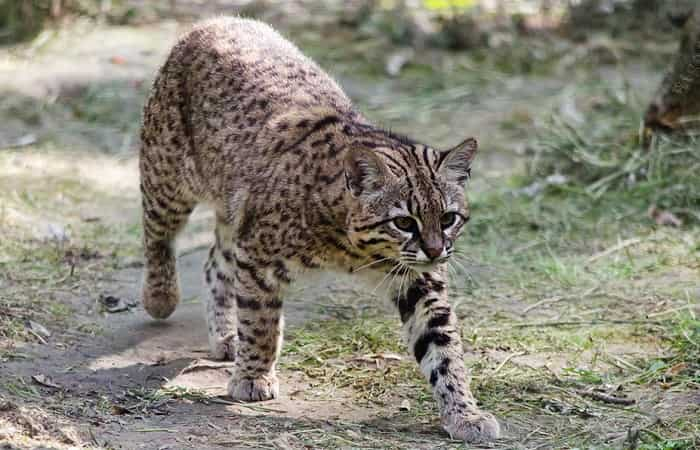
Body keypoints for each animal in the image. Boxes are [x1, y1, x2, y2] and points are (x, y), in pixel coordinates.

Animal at [138, 16, 498, 442]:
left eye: (447, 219)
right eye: (404, 222)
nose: (435, 250)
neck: (358, 249)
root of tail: (219, 20)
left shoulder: (420, 281)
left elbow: (443, 349)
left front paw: (464, 412)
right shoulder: (258, 258)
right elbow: (261, 322)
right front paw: (253, 377)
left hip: (233, 211)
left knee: (214, 263)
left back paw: (226, 336)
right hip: (167, 176)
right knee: (157, 236)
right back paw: (161, 296)